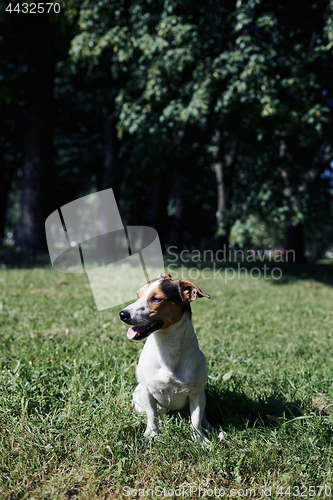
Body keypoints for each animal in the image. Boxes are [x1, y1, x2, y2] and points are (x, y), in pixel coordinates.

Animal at [118, 272, 224, 444]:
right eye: (137, 294)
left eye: (156, 299)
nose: (122, 314)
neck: (166, 346)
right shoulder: (147, 392)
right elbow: (152, 416)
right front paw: (152, 435)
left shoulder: (196, 395)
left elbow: (196, 420)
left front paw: (200, 440)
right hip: (139, 397)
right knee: (157, 414)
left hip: (202, 398)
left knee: (203, 418)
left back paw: (214, 430)